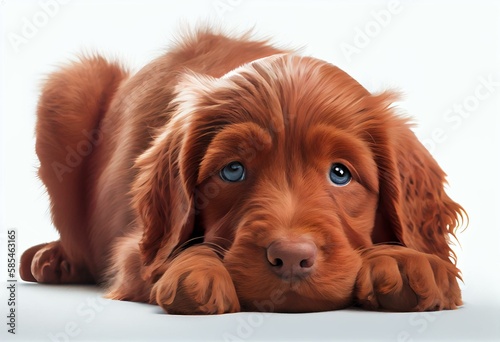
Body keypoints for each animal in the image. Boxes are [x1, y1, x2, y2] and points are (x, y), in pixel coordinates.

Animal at [18, 28, 464, 314]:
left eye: (340, 173)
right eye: (233, 171)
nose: (291, 258)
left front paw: (407, 262)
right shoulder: (135, 249)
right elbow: (170, 254)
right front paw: (195, 270)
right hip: (71, 87)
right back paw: (52, 258)